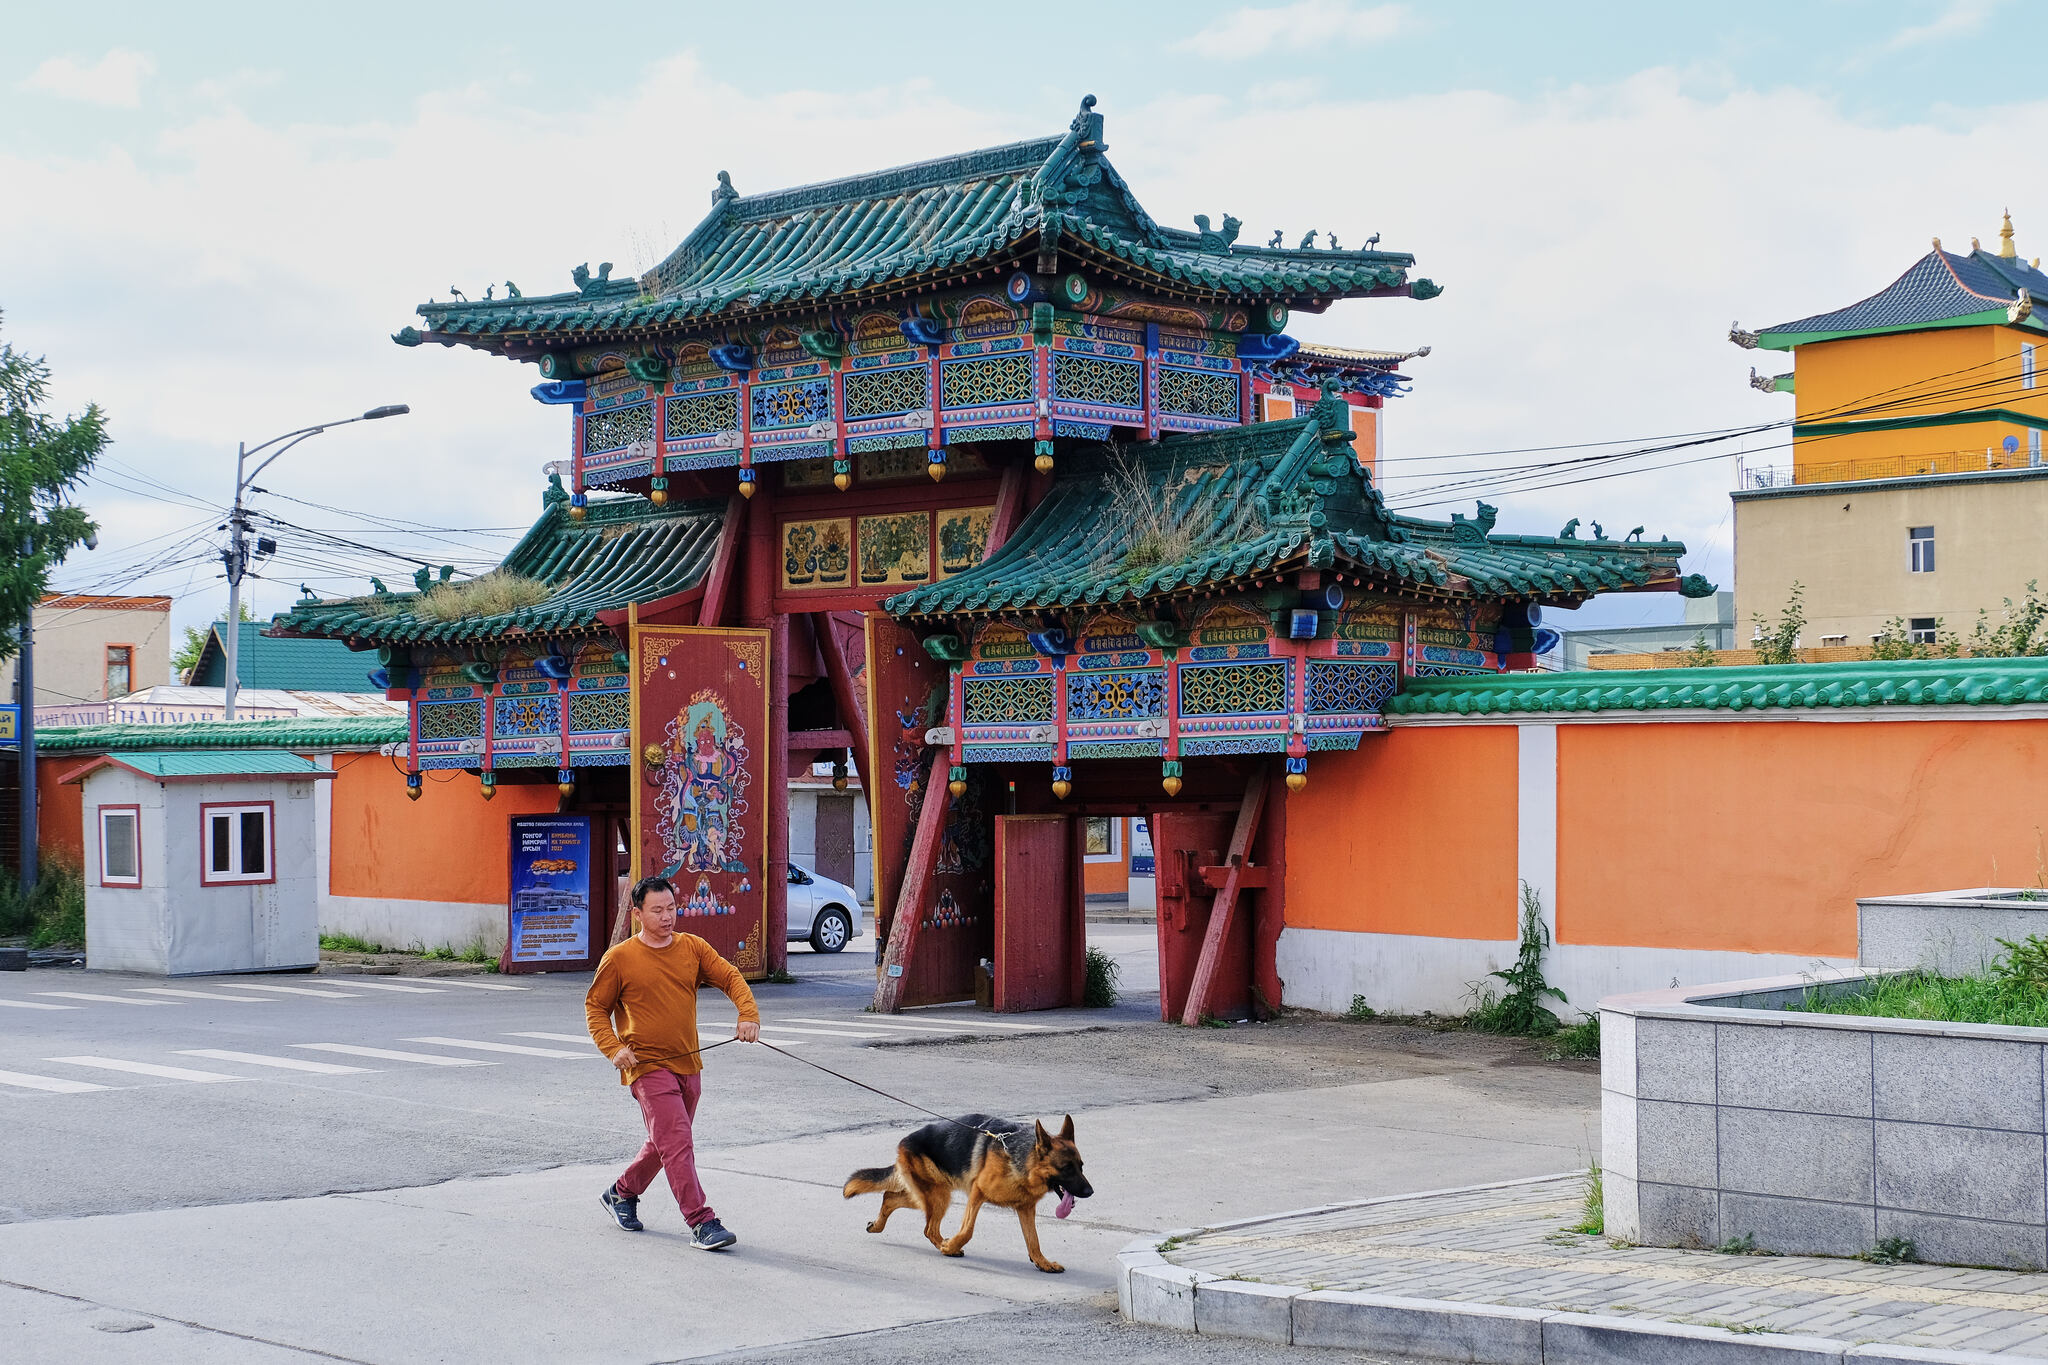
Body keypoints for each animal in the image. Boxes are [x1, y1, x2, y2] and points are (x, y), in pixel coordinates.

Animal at [835, 1113, 1089, 1277]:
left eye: (1081, 1166)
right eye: (1066, 1168)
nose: (1090, 1191)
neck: (1022, 1160)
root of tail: (904, 1141)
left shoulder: (1025, 1208)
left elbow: (1033, 1241)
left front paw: (1042, 1263)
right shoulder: (977, 1192)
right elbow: (967, 1230)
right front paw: (952, 1245)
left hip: (933, 1193)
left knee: (890, 1196)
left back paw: (878, 1226)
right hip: (938, 1196)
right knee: (928, 1228)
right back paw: (946, 1247)